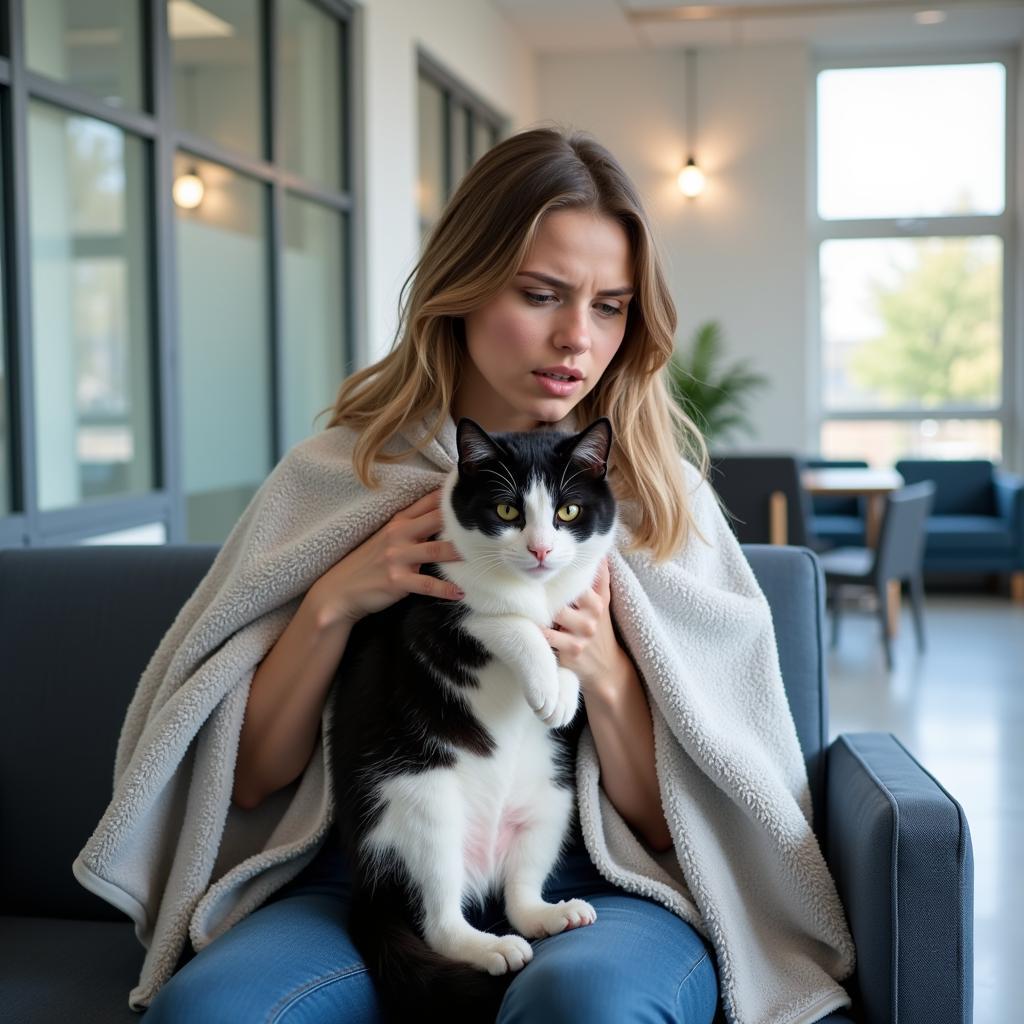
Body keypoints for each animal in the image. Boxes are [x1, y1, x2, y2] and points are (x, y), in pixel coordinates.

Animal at [325, 415, 614, 1024]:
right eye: (506, 510)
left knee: (518, 892)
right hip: (423, 804)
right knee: (438, 920)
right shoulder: (431, 608)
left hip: (552, 802)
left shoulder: (577, 604)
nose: (540, 549)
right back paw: (491, 948)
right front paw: (543, 675)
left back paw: (549, 914)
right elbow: (503, 621)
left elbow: (566, 635)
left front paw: (565, 687)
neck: (535, 588)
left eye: (568, 511)